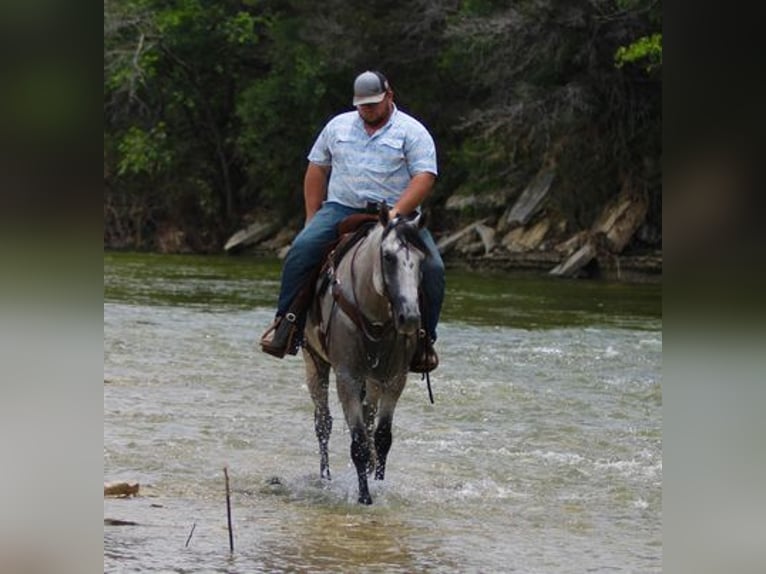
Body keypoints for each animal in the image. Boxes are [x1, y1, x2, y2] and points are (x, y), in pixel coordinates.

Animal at [302, 204, 429, 504]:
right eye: (388, 257)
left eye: (422, 260)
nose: (410, 318)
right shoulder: (347, 377)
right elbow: (358, 441)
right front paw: (364, 497)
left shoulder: (395, 378)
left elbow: (382, 437)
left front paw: (378, 483)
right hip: (314, 361)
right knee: (323, 422)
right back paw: (325, 477)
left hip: (373, 379)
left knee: (369, 416)